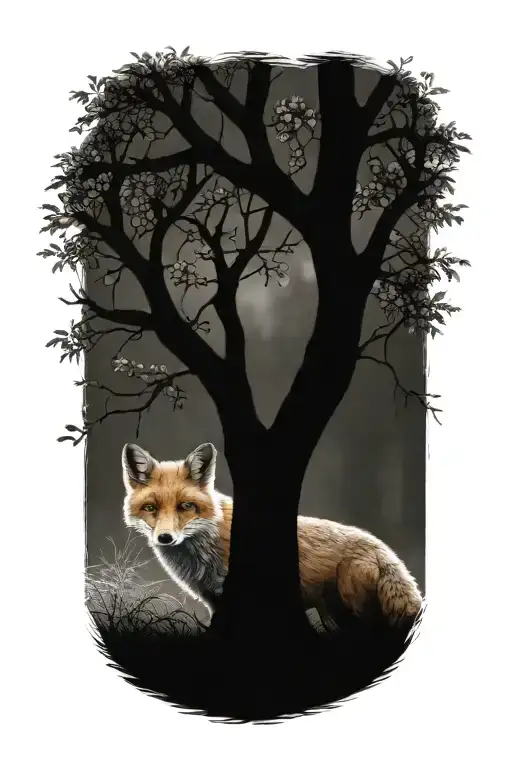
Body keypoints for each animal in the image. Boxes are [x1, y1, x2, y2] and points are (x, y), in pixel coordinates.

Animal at [122, 441, 422, 629]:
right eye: (151, 508)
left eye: (185, 506)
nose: (165, 538)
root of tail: (383, 549)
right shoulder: (215, 603)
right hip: (334, 615)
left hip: (352, 609)